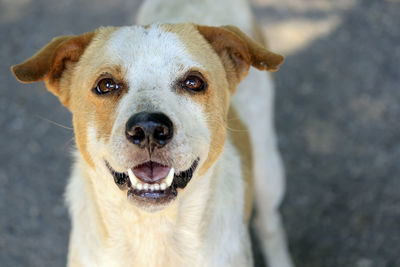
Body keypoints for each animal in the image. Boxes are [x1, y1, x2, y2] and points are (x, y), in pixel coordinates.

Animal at [11, 0, 294, 266]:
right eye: (106, 85)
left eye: (194, 82)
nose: (148, 128)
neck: (153, 228)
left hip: (267, 171)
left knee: (269, 225)